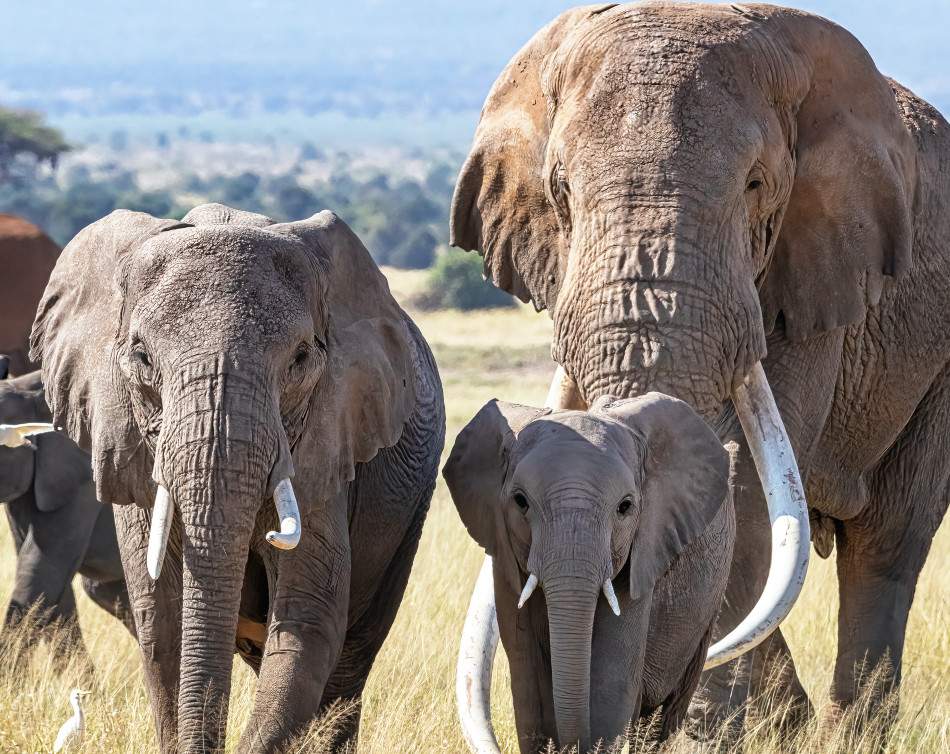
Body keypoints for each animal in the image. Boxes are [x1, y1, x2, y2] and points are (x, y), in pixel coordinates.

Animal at [29, 203, 445, 752]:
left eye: (300, 359)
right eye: (142, 357)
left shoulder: (329, 435)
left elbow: (309, 616)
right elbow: (161, 620)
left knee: (351, 658)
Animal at [444, 394, 736, 752]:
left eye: (625, 507)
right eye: (520, 501)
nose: (571, 744)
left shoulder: (644, 550)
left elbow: (610, 680)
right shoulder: (504, 556)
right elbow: (528, 678)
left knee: (665, 714)